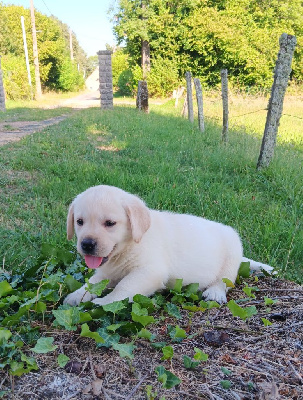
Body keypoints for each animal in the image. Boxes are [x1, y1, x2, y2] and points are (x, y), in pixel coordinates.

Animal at [64, 185, 274, 306]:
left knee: (225, 280)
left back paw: (215, 293)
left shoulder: (149, 272)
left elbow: (124, 287)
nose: (87, 244)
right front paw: (76, 295)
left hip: (232, 251)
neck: (129, 246)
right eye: (80, 222)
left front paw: (105, 302)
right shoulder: (106, 271)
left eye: (110, 223)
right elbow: (92, 283)